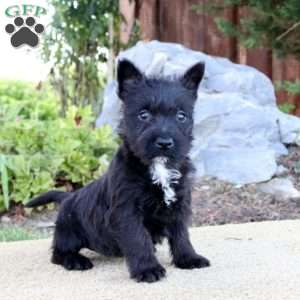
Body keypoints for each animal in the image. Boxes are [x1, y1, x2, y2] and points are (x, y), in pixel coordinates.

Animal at [27, 59, 210, 284]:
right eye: (143, 114)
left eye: (181, 116)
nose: (165, 143)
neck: (157, 168)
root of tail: (69, 196)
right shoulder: (127, 211)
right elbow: (138, 238)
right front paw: (147, 268)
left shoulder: (179, 205)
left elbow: (181, 234)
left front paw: (188, 258)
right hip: (69, 232)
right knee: (58, 253)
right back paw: (75, 261)